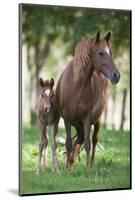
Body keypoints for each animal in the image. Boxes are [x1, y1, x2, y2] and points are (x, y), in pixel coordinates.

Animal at [56, 31, 120, 169]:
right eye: (101, 53)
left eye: (111, 52)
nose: (116, 75)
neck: (76, 86)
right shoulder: (67, 120)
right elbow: (69, 143)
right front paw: (67, 168)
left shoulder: (87, 119)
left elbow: (88, 144)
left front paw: (87, 167)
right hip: (77, 124)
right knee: (79, 140)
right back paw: (71, 162)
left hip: (97, 121)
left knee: (94, 139)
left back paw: (92, 163)